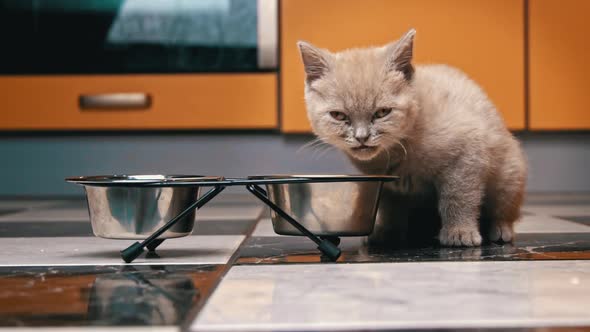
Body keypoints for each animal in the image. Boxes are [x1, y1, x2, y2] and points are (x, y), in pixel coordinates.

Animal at [298, 29, 528, 246]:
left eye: (382, 112)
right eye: (338, 115)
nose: (361, 137)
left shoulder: (467, 154)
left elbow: (459, 197)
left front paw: (459, 231)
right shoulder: (386, 185)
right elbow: (389, 208)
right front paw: (387, 232)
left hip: (509, 174)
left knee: (503, 208)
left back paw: (500, 230)